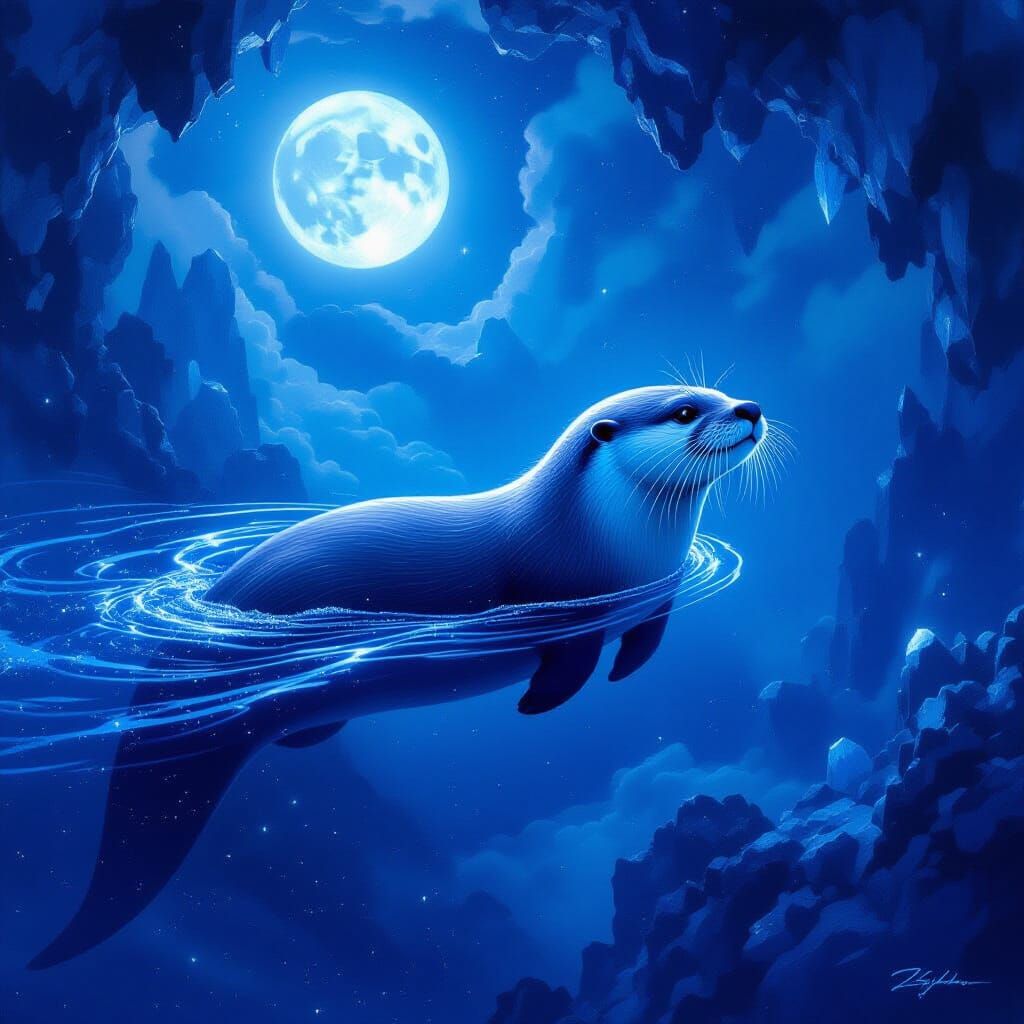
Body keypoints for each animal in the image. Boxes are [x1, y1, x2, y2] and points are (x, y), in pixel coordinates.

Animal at [32, 385, 767, 968]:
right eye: (685, 410)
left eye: (719, 388)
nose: (751, 408)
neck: (609, 536)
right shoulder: (566, 605)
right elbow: (568, 668)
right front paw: (540, 703)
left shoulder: (657, 597)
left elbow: (645, 644)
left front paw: (626, 671)